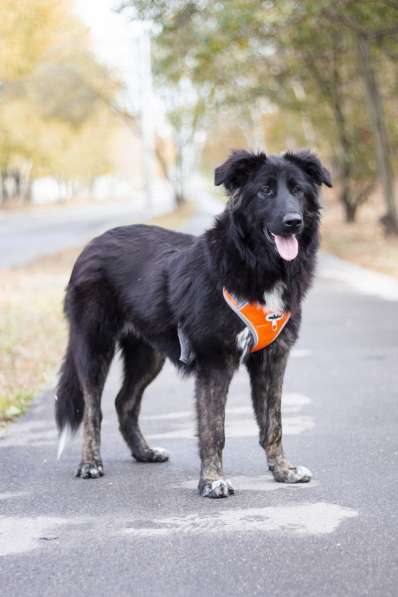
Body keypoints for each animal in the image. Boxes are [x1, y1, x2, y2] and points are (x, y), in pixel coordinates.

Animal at [55, 150, 330, 498]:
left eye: (298, 191)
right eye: (265, 191)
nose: (294, 221)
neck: (254, 262)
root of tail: (92, 244)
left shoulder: (272, 359)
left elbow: (274, 423)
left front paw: (283, 471)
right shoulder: (215, 363)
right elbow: (214, 428)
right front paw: (212, 480)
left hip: (148, 356)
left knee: (124, 402)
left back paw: (144, 452)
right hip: (94, 348)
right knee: (94, 409)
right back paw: (90, 463)